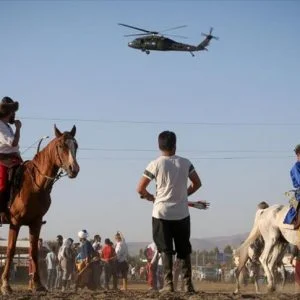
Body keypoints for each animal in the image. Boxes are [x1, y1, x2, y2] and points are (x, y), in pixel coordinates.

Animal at [0, 125, 79, 296]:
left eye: (76, 146)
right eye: (61, 146)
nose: (74, 169)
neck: (34, 184)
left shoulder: (35, 222)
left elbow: (34, 252)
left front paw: (38, 285)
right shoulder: (15, 222)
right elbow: (10, 250)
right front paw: (6, 285)